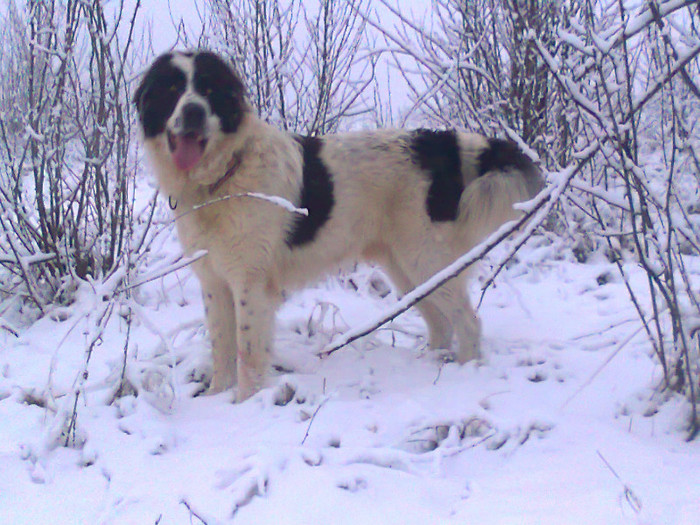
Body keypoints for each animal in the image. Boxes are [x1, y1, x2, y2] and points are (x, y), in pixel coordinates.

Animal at [134, 50, 544, 402]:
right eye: (172, 90)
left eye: (208, 90)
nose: (192, 111)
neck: (222, 177)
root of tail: (439, 144)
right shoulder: (215, 283)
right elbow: (221, 349)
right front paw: (217, 400)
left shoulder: (250, 284)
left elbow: (248, 353)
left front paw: (244, 406)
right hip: (406, 267)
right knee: (441, 323)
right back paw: (429, 367)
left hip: (427, 259)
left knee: (468, 322)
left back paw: (465, 374)